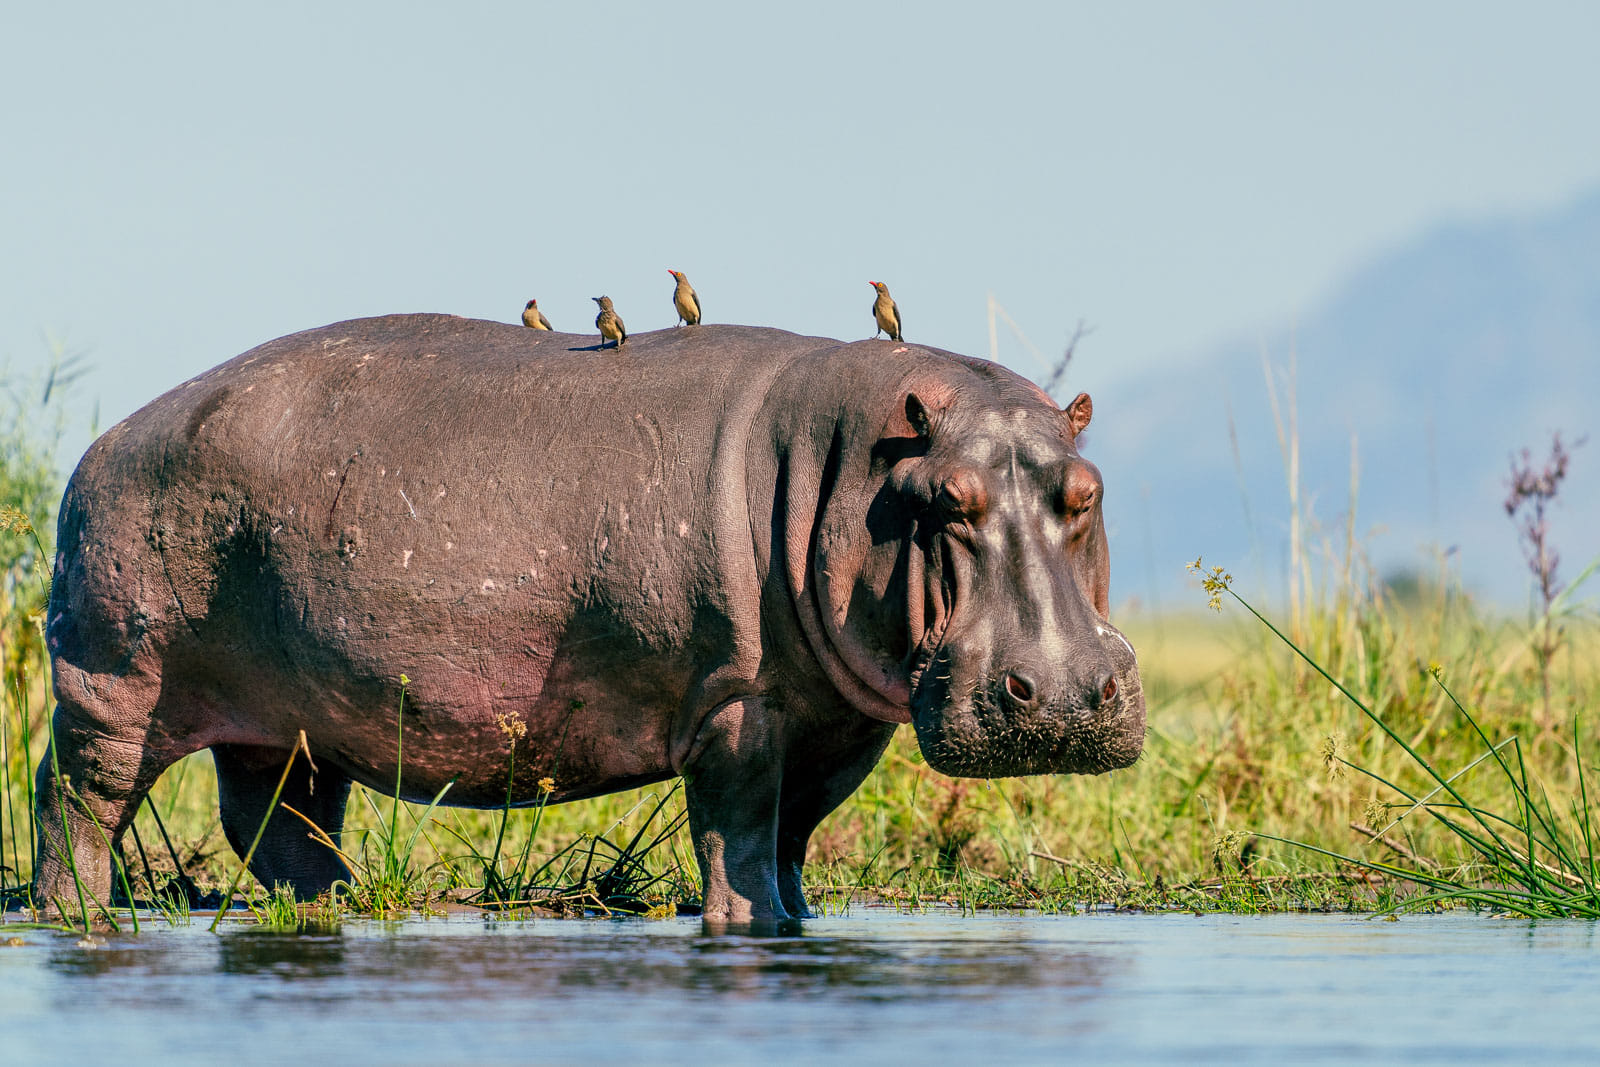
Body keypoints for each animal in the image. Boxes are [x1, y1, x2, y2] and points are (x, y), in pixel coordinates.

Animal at [33, 315, 1143, 927]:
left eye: (1084, 493)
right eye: (948, 501)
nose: (1061, 695)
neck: (857, 464)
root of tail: (105, 441)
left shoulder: (840, 720)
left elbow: (795, 835)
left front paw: (800, 918)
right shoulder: (736, 701)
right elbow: (741, 831)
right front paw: (744, 922)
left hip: (289, 721)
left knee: (279, 819)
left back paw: (332, 903)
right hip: (116, 683)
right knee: (76, 794)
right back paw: (74, 911)